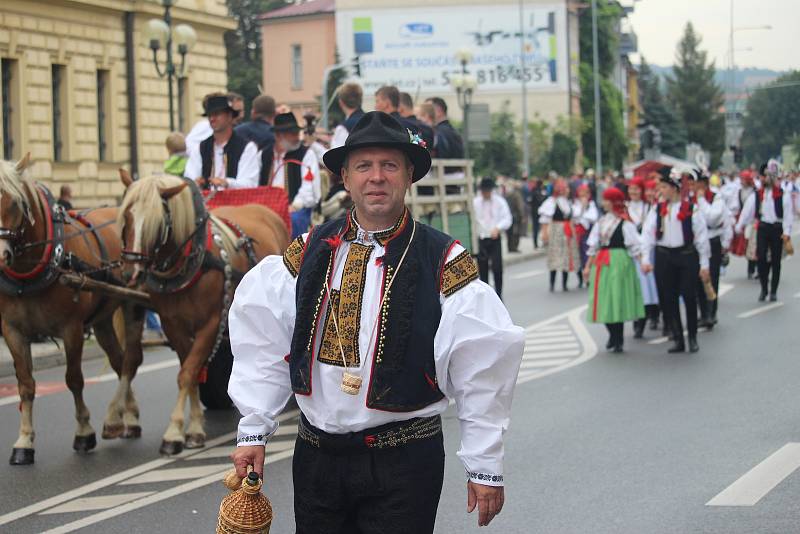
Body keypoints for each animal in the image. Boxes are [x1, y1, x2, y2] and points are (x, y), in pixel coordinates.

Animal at [0, 155, 145, 464]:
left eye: (15, 203)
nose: (1, 255)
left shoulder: (72, 329)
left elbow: (74, 379)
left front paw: (84, 432)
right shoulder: (12, 331)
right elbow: (25, 385)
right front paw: (24, 442)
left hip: (133, 305)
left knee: (131, 360)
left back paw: (121, 418)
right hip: (102, 320)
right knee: (119, 361)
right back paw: (127, 416)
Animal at [114, 172, 286, 456]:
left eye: (156, 223)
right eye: (126, 217)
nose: (130, 274)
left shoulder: (212, 323)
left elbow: (188, 372)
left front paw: (176, 432)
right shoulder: (174, 325)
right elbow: (190, 371)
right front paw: (191, 427)